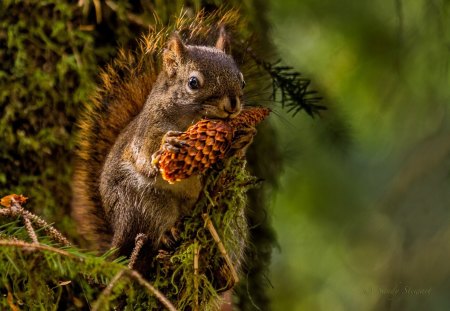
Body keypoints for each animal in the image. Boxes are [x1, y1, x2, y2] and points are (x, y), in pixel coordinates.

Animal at [71, 29, 251, 276]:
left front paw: (244, 138)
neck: (190, 120)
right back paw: (167, 234)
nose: (232, 104)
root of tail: (116, 236)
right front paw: (167, 145)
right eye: (193, 83)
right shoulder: (147, 130)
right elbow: (144, 154)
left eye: (242, 80)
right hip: (144, 204)